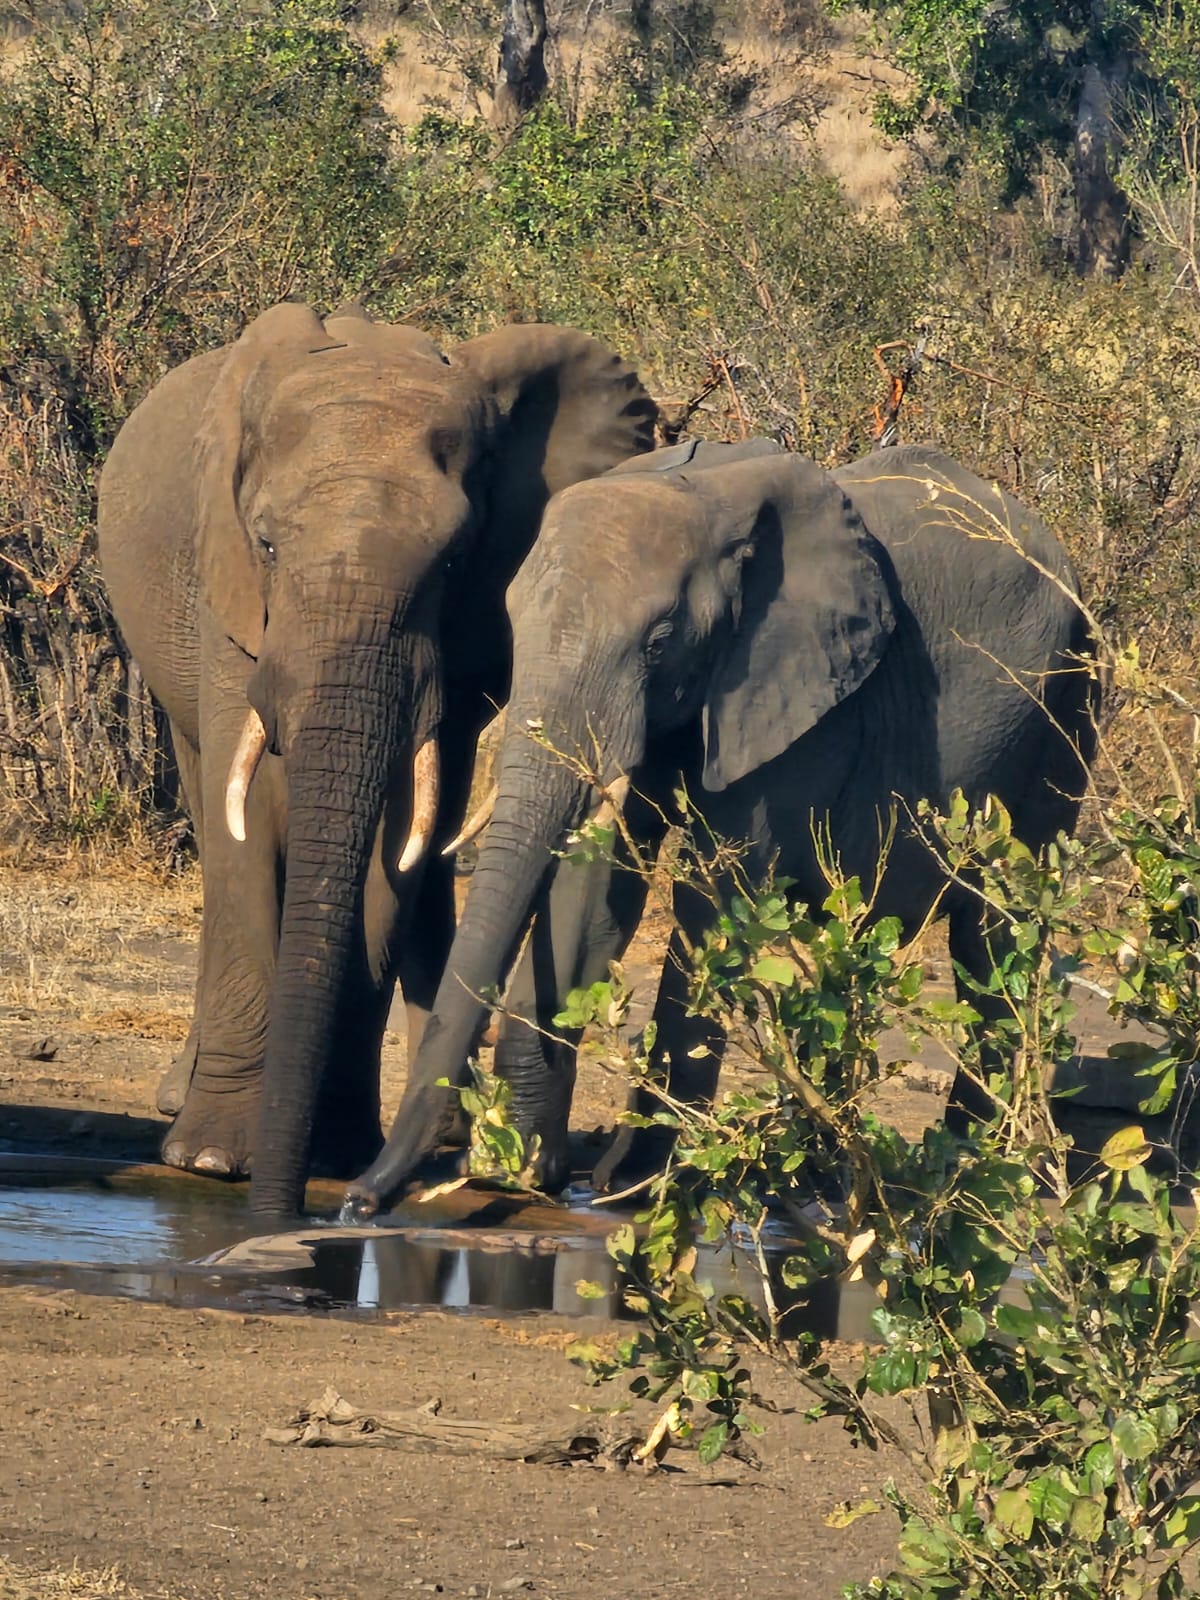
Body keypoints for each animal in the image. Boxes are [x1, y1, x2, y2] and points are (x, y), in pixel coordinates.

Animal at [97, 301, 656, 1216]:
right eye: (267, 546)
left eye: (455, 560)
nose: (311, 1208)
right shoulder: (231, 601)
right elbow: (249, 819)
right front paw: (213, 1158)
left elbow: (394, 849)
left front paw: (331, 1147)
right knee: (210, 806)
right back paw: (184, 1105)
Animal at [344, 439, 1097, 1216]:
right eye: (514, 626)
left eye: (658, 642)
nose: (359, 1202)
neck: (702, 492)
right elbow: (600, 888)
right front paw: (521, 1173)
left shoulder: (793, 695)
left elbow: (717, 897)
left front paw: (638, 1186)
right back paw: (828, 1176)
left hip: (1062, 711)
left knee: (993, 932)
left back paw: (970, 1170)